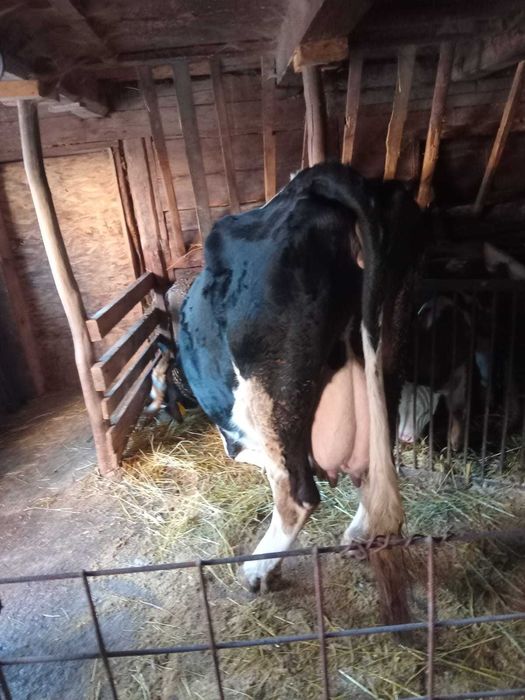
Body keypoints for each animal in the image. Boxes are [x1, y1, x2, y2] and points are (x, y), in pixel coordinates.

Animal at [171, 163, 425, 621]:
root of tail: (320, 181)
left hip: (270, 389)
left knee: (297, 493)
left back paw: (258, 571)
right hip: (389, 342)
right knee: (378, 463)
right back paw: (358, 535)